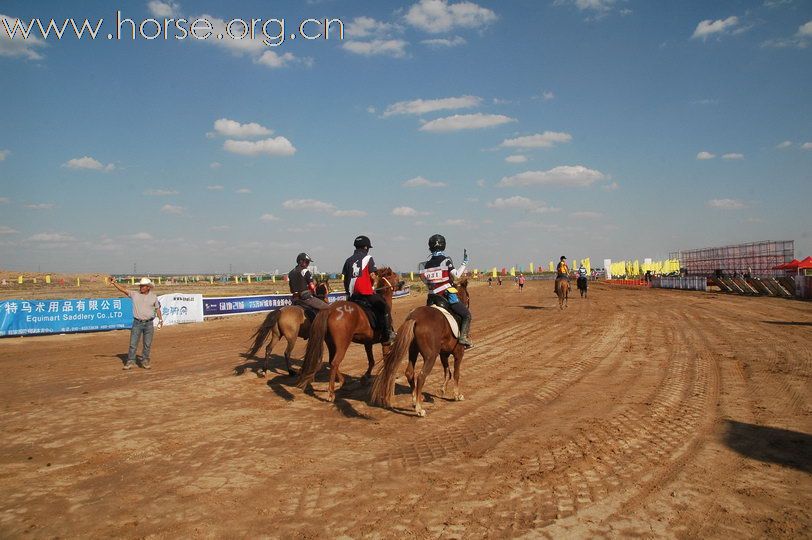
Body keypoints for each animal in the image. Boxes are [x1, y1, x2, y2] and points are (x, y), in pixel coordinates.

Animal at [294, 268, 402, 402]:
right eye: (394, 276)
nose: (402, 283)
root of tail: (330, 309)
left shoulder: (368, 343)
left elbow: (371, 360)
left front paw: (365, 377)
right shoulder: (385, 342)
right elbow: (386, 359)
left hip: (331, 343)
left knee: (331, 361)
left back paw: (342, 381)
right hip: (342, 344)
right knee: (335, 363)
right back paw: (331, 393)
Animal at [372, 278, 470, 418]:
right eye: (467, 296)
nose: (467, 304)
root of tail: (415, 318)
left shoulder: (443, 354)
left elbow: (447, 371)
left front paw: (443, 389)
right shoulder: (458, 352)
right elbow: (456, 373)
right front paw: (457, 395)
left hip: (413, 351)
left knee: (409, 373)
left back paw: (414, 400)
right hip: (430, 356)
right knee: (421, 376)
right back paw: (419, 409)